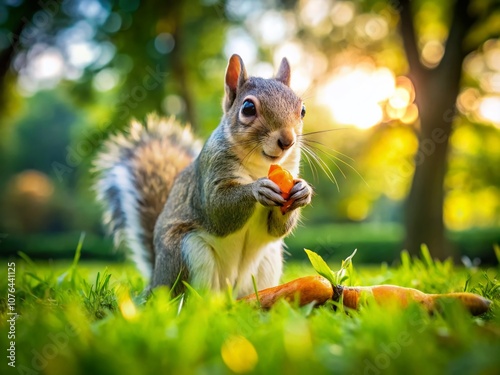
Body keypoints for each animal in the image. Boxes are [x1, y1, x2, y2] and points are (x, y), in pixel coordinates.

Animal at [94, 54, 312, 298]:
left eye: (302, 110)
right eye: (248, 108)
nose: (287, 141)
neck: (261, 167)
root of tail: (156, 281)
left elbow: (277, 228)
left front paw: (303, 191)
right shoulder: (210, 174)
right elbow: (218, 210)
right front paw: (257, 189)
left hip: (268, 261)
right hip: (188, 253)